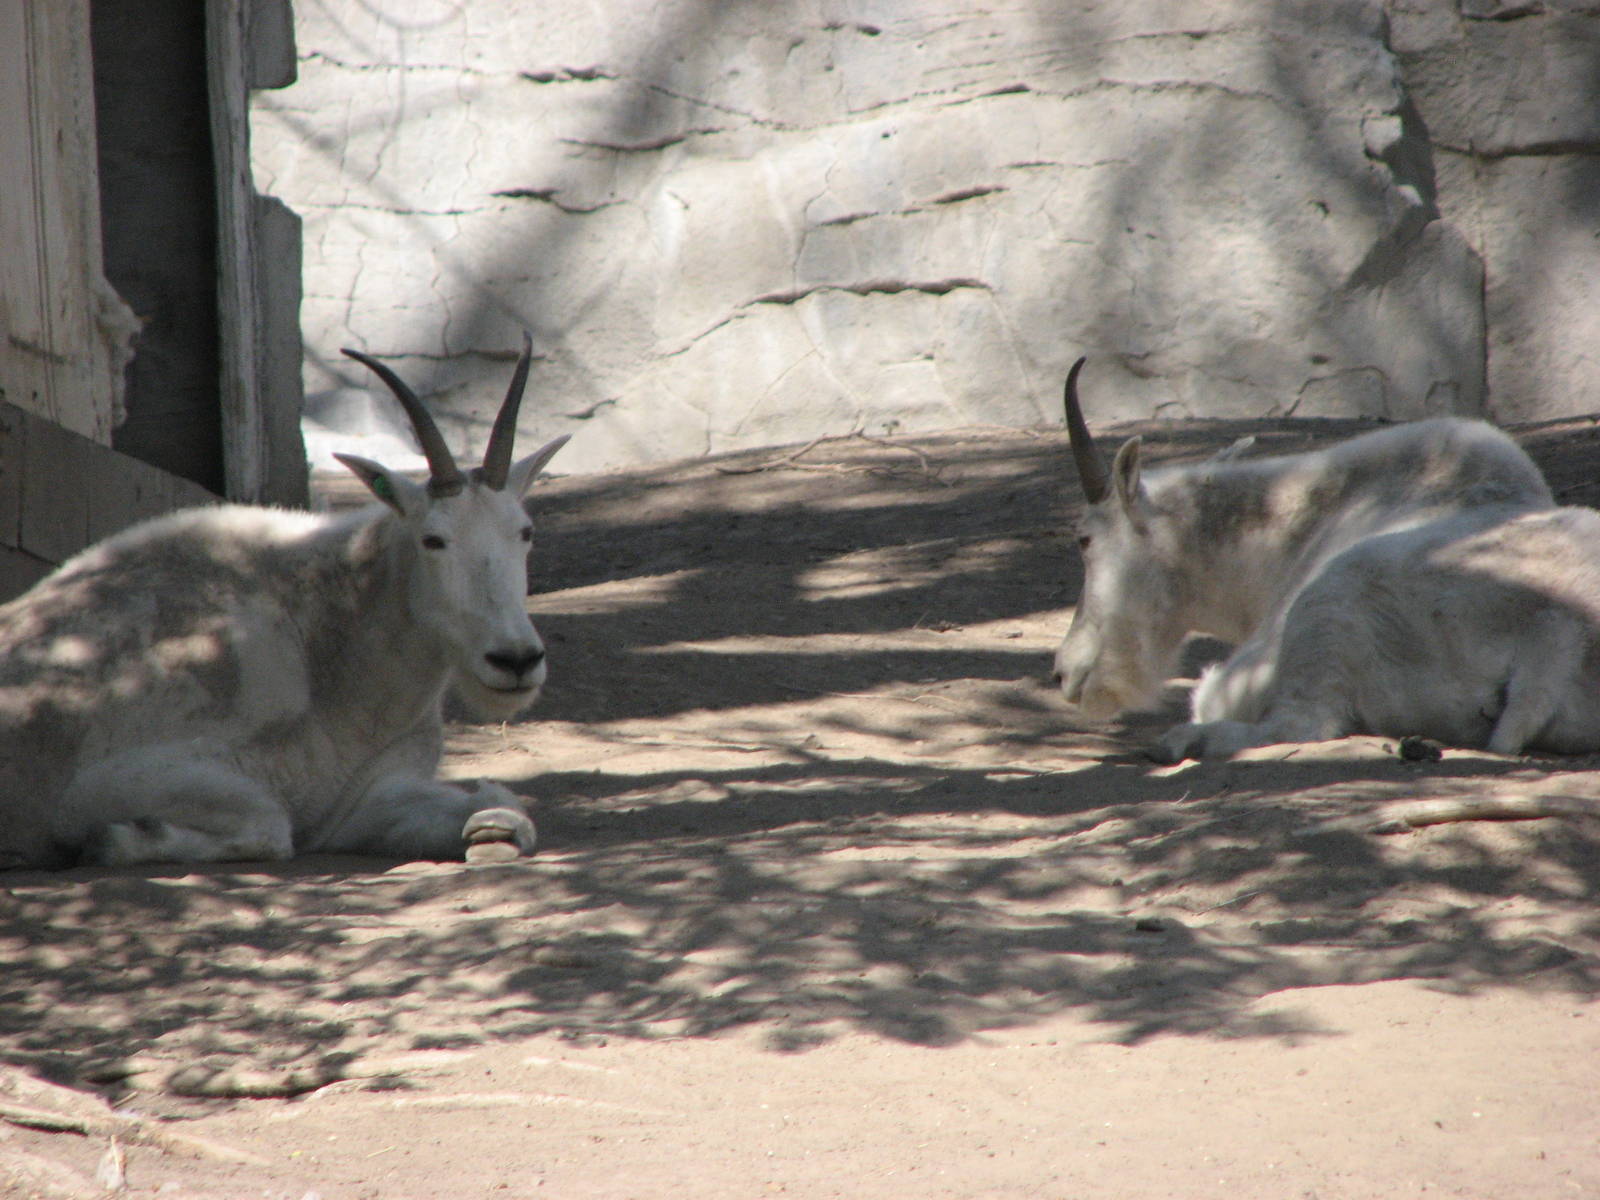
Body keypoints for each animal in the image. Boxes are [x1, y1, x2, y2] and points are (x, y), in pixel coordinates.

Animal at [0, 336, 569, 868]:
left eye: (525, 531)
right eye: (433, 539)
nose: (516, 660)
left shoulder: (362, 803)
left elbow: (508, 810)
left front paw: (491, 832)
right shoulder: (102, 784)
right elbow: (270, 825)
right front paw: (115, 839)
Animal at [1047, 359, 1600, 761]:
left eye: (1084, 540)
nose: (1063, 674)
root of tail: (1559, 633)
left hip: (1329, 605)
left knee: (1302, 723)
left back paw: (1180, 741)